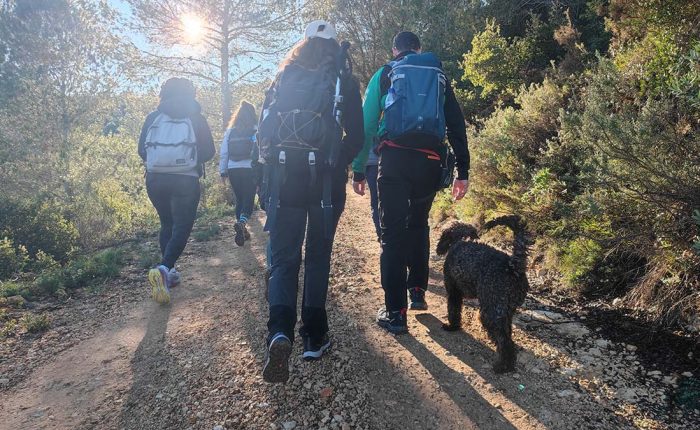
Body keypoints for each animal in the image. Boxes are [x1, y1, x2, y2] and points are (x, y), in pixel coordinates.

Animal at [436, 215, 530, 373]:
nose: (438, 249)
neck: (460, 241)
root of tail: (513, 266)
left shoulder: (453, 292)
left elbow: (453, 310)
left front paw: (452, 326)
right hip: (505, 312)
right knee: (508, 338)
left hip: (490, 314)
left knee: (504, 342)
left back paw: (502, 366)